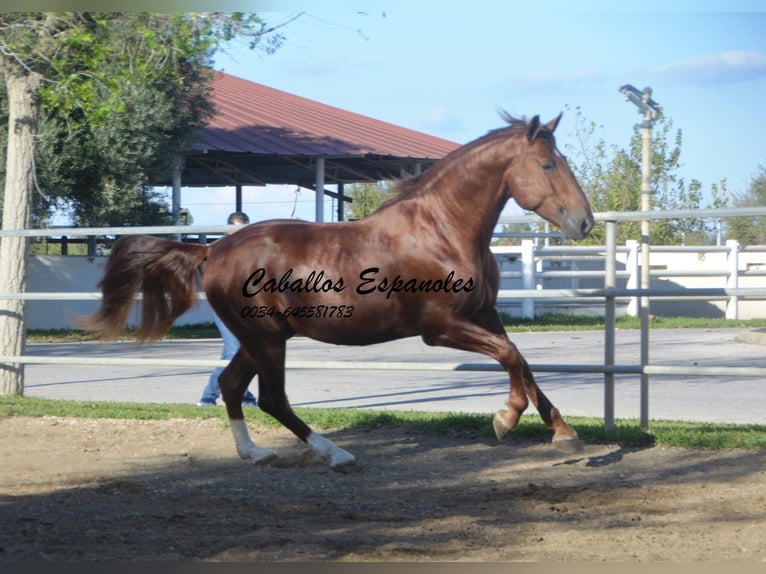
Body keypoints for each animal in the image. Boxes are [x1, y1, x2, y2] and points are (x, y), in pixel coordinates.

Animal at [85, 113, 600, 472]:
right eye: (547, 164)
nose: (584, 223)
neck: (441, 231)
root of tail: (212, 250)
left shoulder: (485, 314)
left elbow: (522, 362)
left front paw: (563, 432)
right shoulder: (440, 327)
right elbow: (510, 357)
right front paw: (505, 420)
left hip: (261, 339)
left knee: (232, 386)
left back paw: (257, 454)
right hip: (266, 340)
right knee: (272, 399)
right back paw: (336, 454)